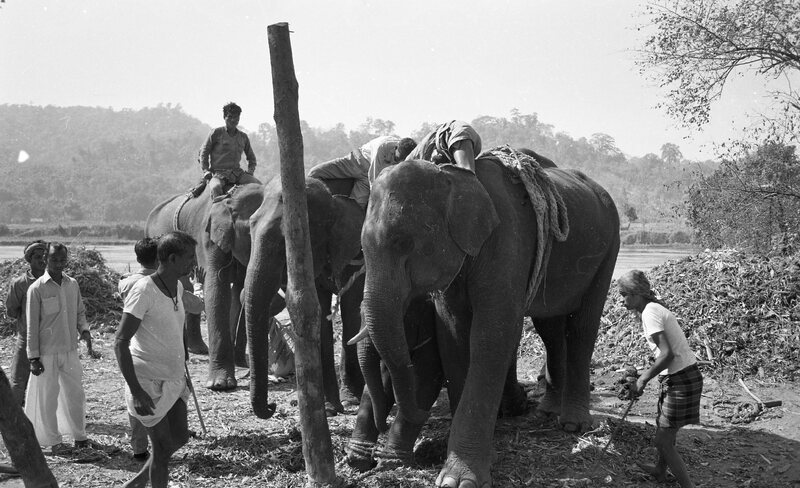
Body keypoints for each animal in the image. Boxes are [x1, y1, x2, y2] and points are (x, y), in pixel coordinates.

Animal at [244, 177, 367, 419]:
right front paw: (330, 409)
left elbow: (351, 309)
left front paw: (349, 400)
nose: (273, 406)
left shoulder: (355, 254)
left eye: (285, 244)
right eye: (250, 229)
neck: (334, 202)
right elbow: (317, 313)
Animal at [355, 152, 620, 487]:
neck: (453, 176)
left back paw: (573, 425)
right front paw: (481, 456)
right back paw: (547, 412)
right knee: (550, 326)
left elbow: (492, 335)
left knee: (584, 325)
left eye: (404, 243)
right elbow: (454, 337)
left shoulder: (508, 244)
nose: (383, 428)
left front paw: (459, 479)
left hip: (609, 247)